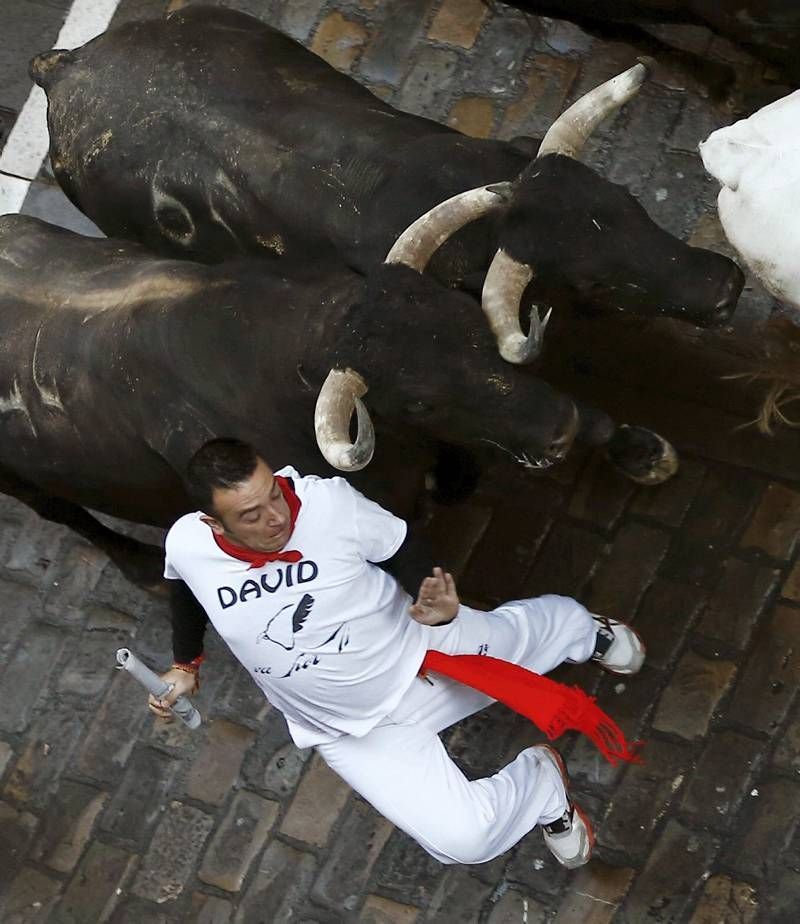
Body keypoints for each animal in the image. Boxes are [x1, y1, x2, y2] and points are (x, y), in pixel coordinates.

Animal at [1, 217, 676, 584]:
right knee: (66, 515)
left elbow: (596, 417)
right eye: (420, 401)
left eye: (470, 321)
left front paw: (641, 449)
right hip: (28, 489)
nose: (556, 426)